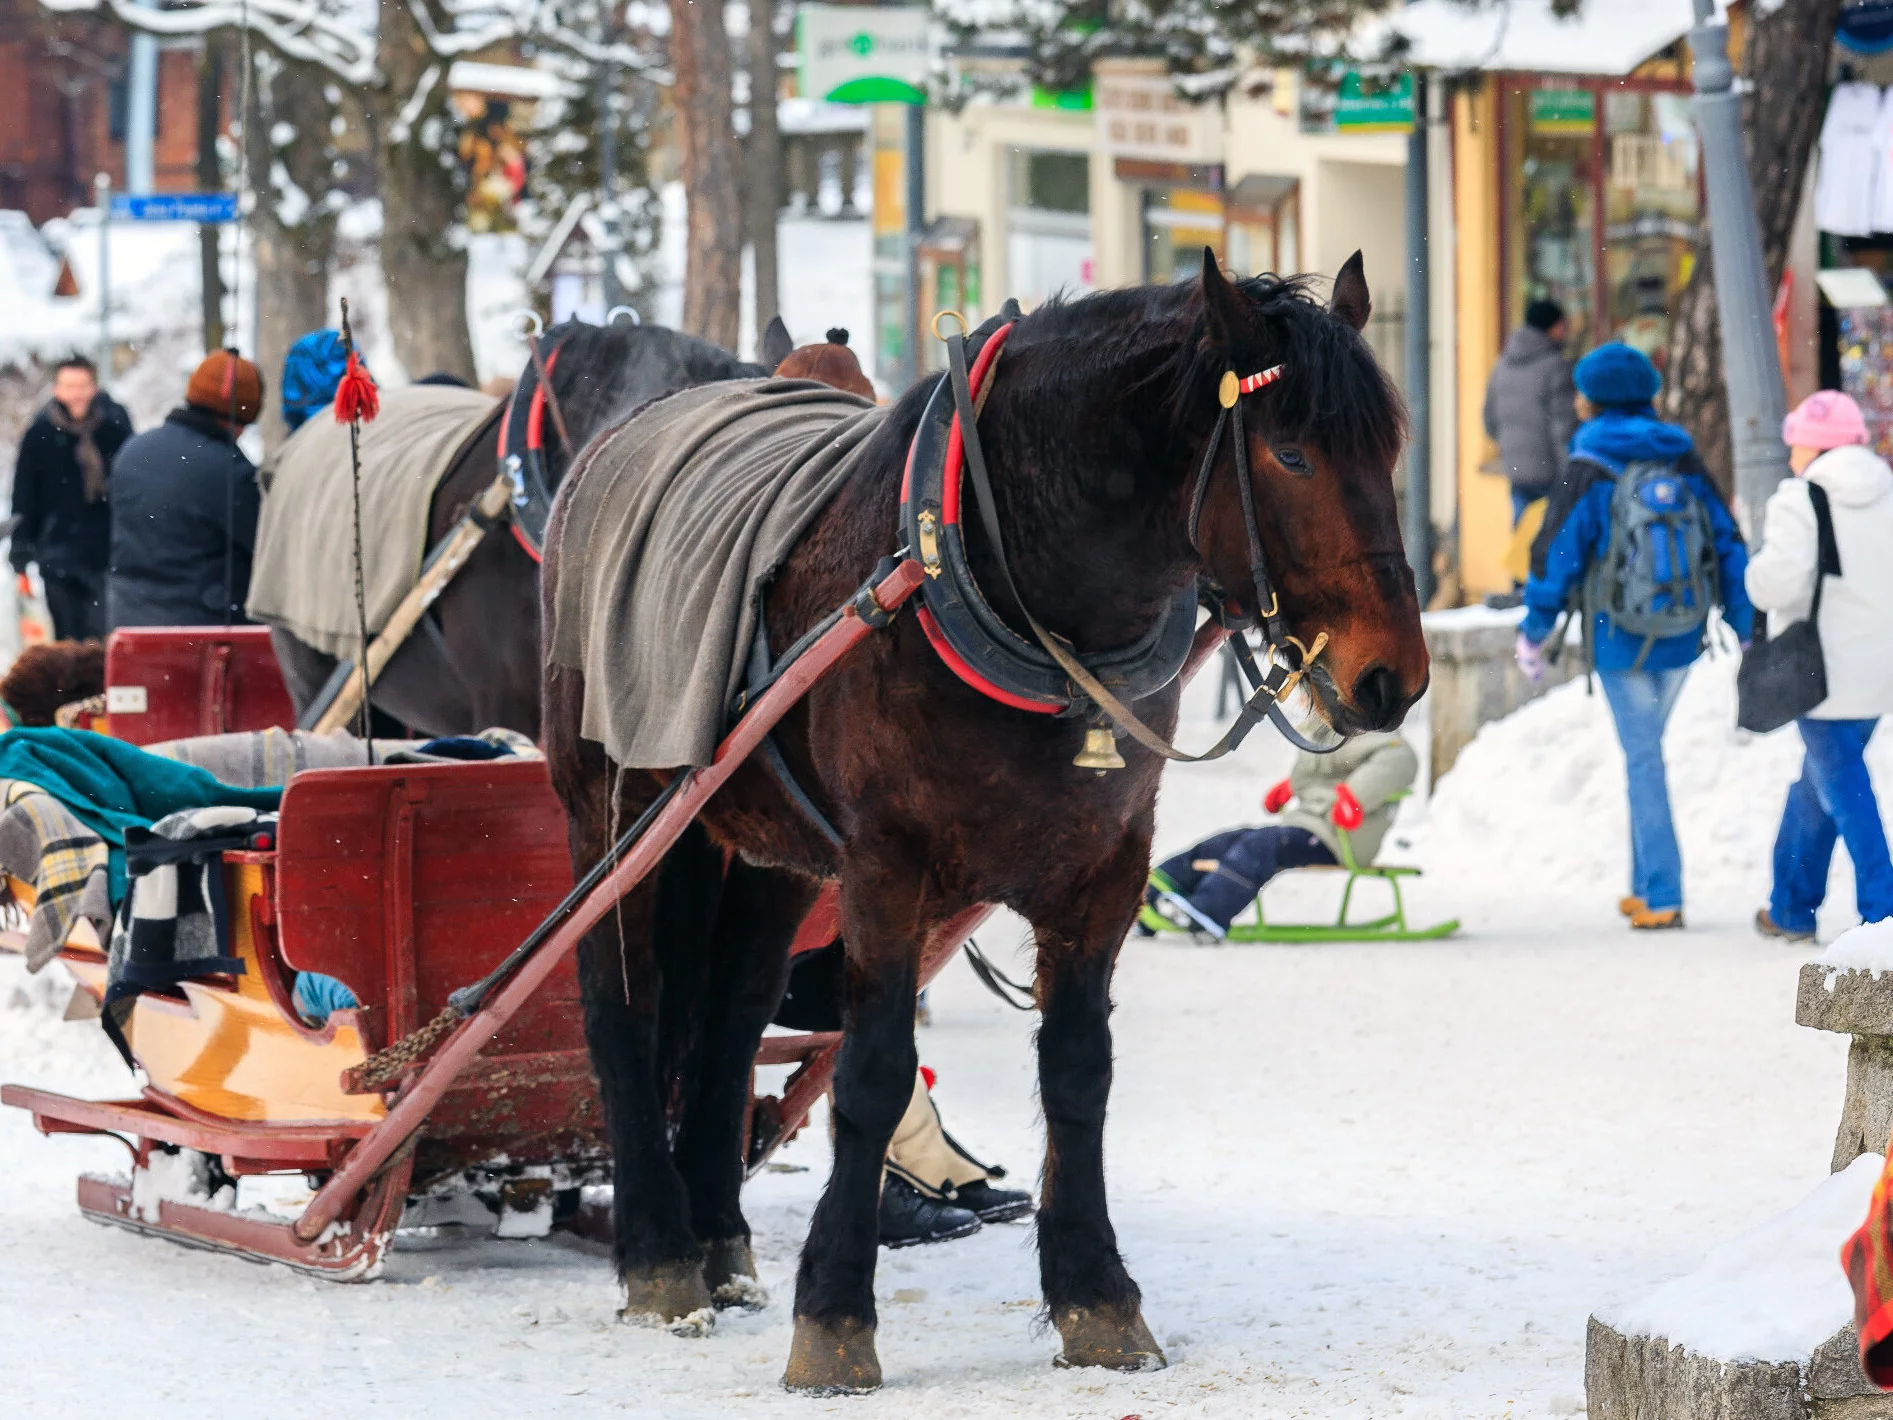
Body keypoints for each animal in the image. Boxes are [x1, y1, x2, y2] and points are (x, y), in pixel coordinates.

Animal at [541, 255, 1423, 1393]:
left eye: (1390, 449)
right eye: (1291, 452)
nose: (1391, 676)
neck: (1007, 582)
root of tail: (619, 438)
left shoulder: (1106, 866)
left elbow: (1078, 1069)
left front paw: (1095, 1292)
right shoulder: (886, 865)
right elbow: (870, 1074)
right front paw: (834, 1312)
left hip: (768, 840)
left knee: (733, 1013)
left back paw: (718, 1235)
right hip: (611, 801)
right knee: (622, 1001)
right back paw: (657, 1249)